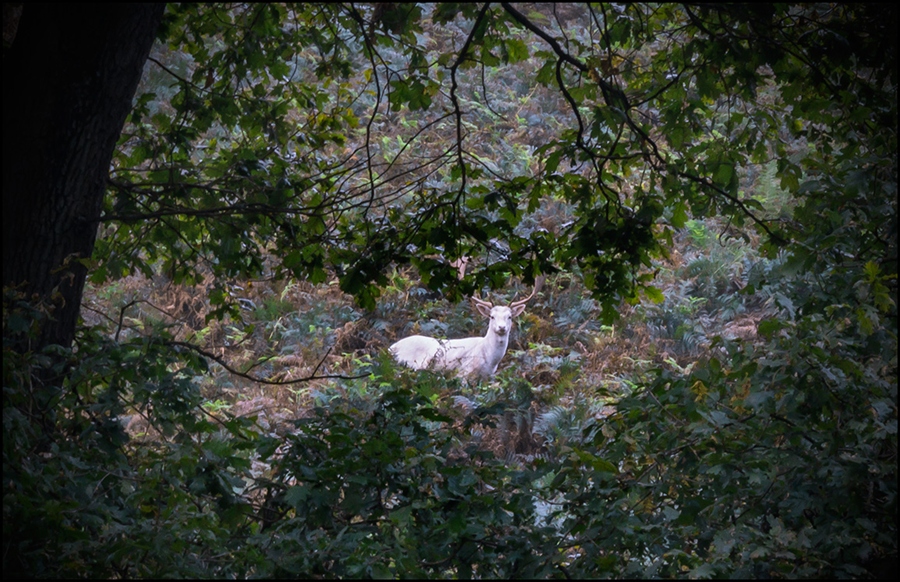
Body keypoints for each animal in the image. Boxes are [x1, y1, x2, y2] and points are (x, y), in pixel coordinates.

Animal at [388, 280, 540, 380]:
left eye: (509, 317)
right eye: (492, 316)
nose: (501, 327)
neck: (489, 360)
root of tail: (391, 348)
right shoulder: (463, 372)